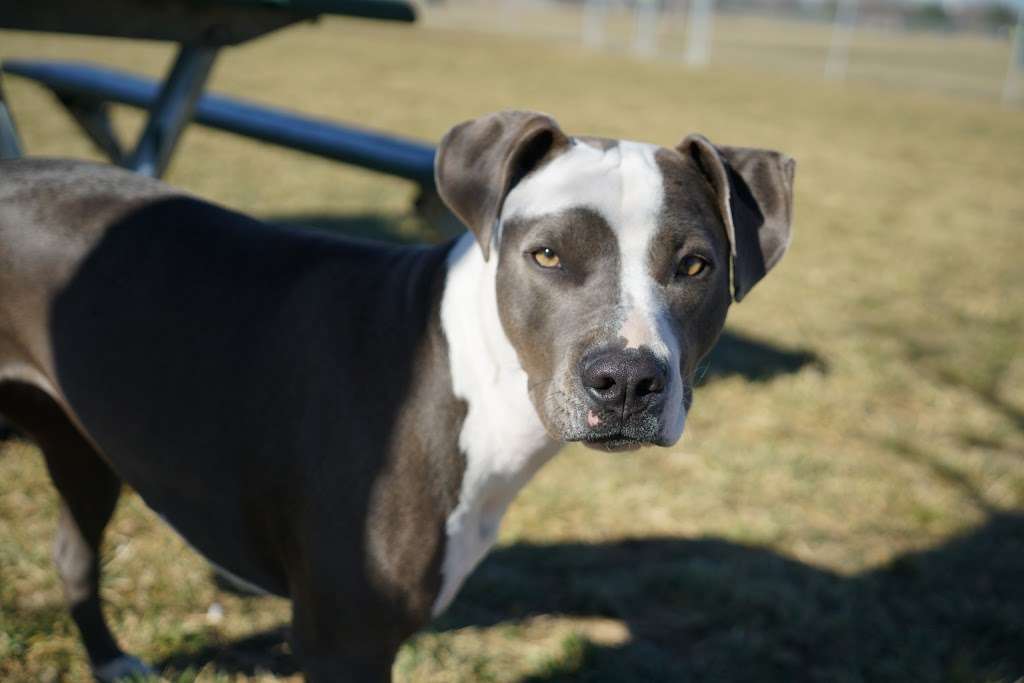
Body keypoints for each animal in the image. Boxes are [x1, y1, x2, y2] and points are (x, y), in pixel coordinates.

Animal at [0, 109, 790, 679]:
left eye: (695, 265)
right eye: (547, 254)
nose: (625, 378)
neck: (466, 378)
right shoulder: (343, 640)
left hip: (80, 442)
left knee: (74, 551)